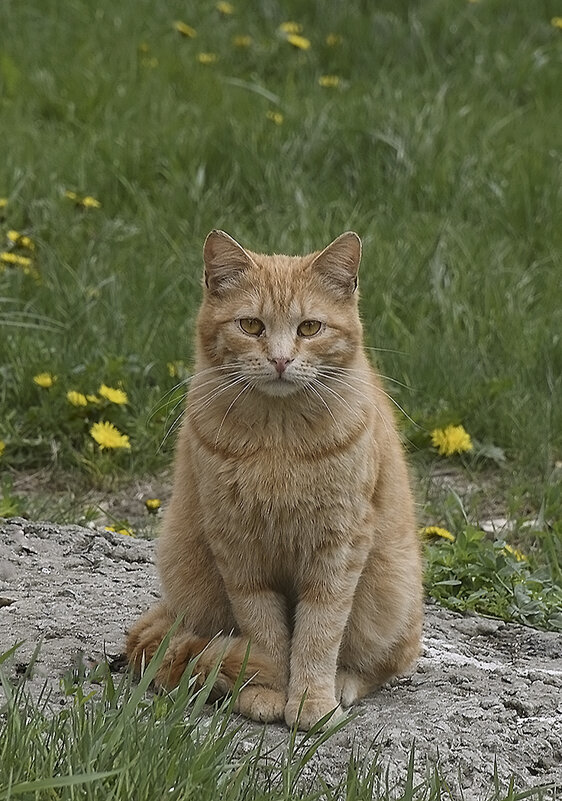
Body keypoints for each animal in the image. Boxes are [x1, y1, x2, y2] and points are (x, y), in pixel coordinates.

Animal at [126, 230, 420, 732]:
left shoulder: (338, 548)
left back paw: (343, 683)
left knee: (385, 662)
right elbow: (265, 632)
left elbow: (319, 634)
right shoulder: (239, 550)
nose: (281, 360)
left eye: (309, 328)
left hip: (390, 588)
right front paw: (269, 689)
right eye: (251, 326)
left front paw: (310, 702)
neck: (278, 441)